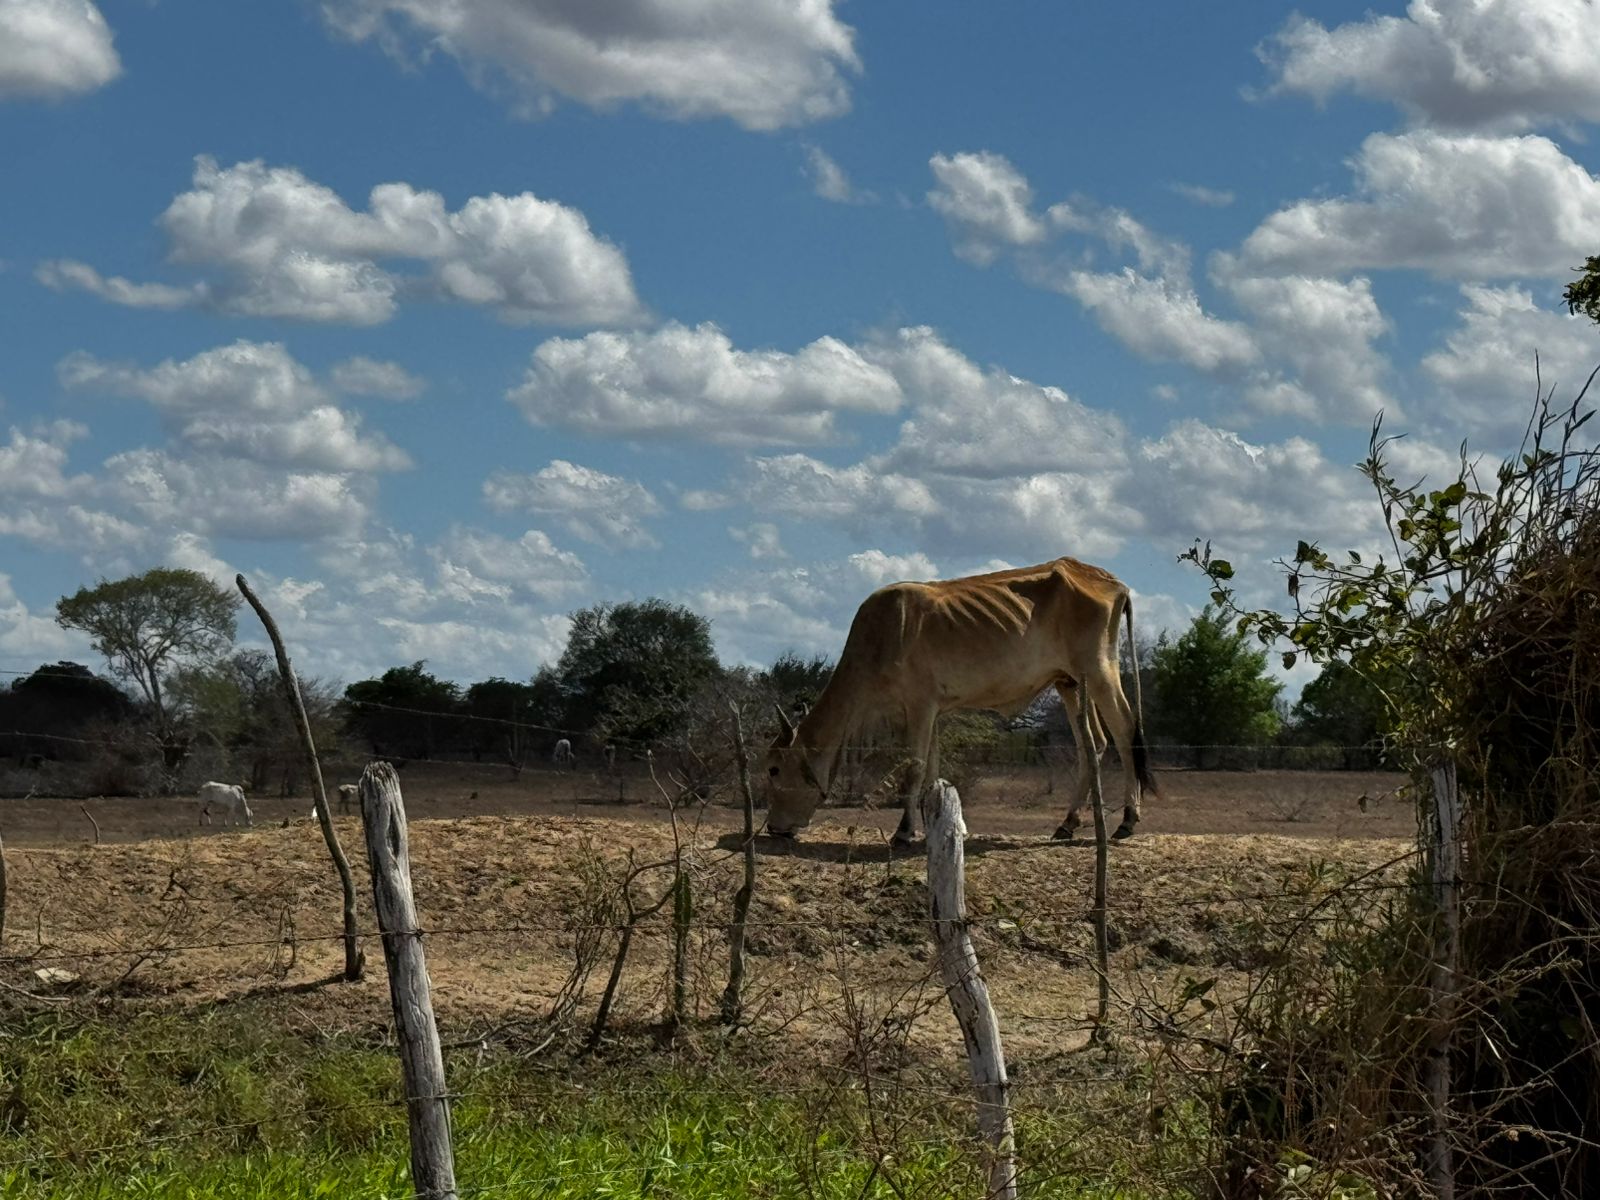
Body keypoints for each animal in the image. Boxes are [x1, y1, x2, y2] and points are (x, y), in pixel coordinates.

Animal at [764, 556, 1156, 847]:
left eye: (773, 769)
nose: (772, 828)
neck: (880, 637)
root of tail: (1111, 581)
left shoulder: (919, 706)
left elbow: (916, 768)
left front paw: (903, 831)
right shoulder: (934, 710)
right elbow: (933, 769)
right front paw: (933, 828)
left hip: (1099, 670)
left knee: (1124, 732)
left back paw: (1128, 820)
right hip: (1069, 683)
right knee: (1093, 744)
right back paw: (1068, 823)